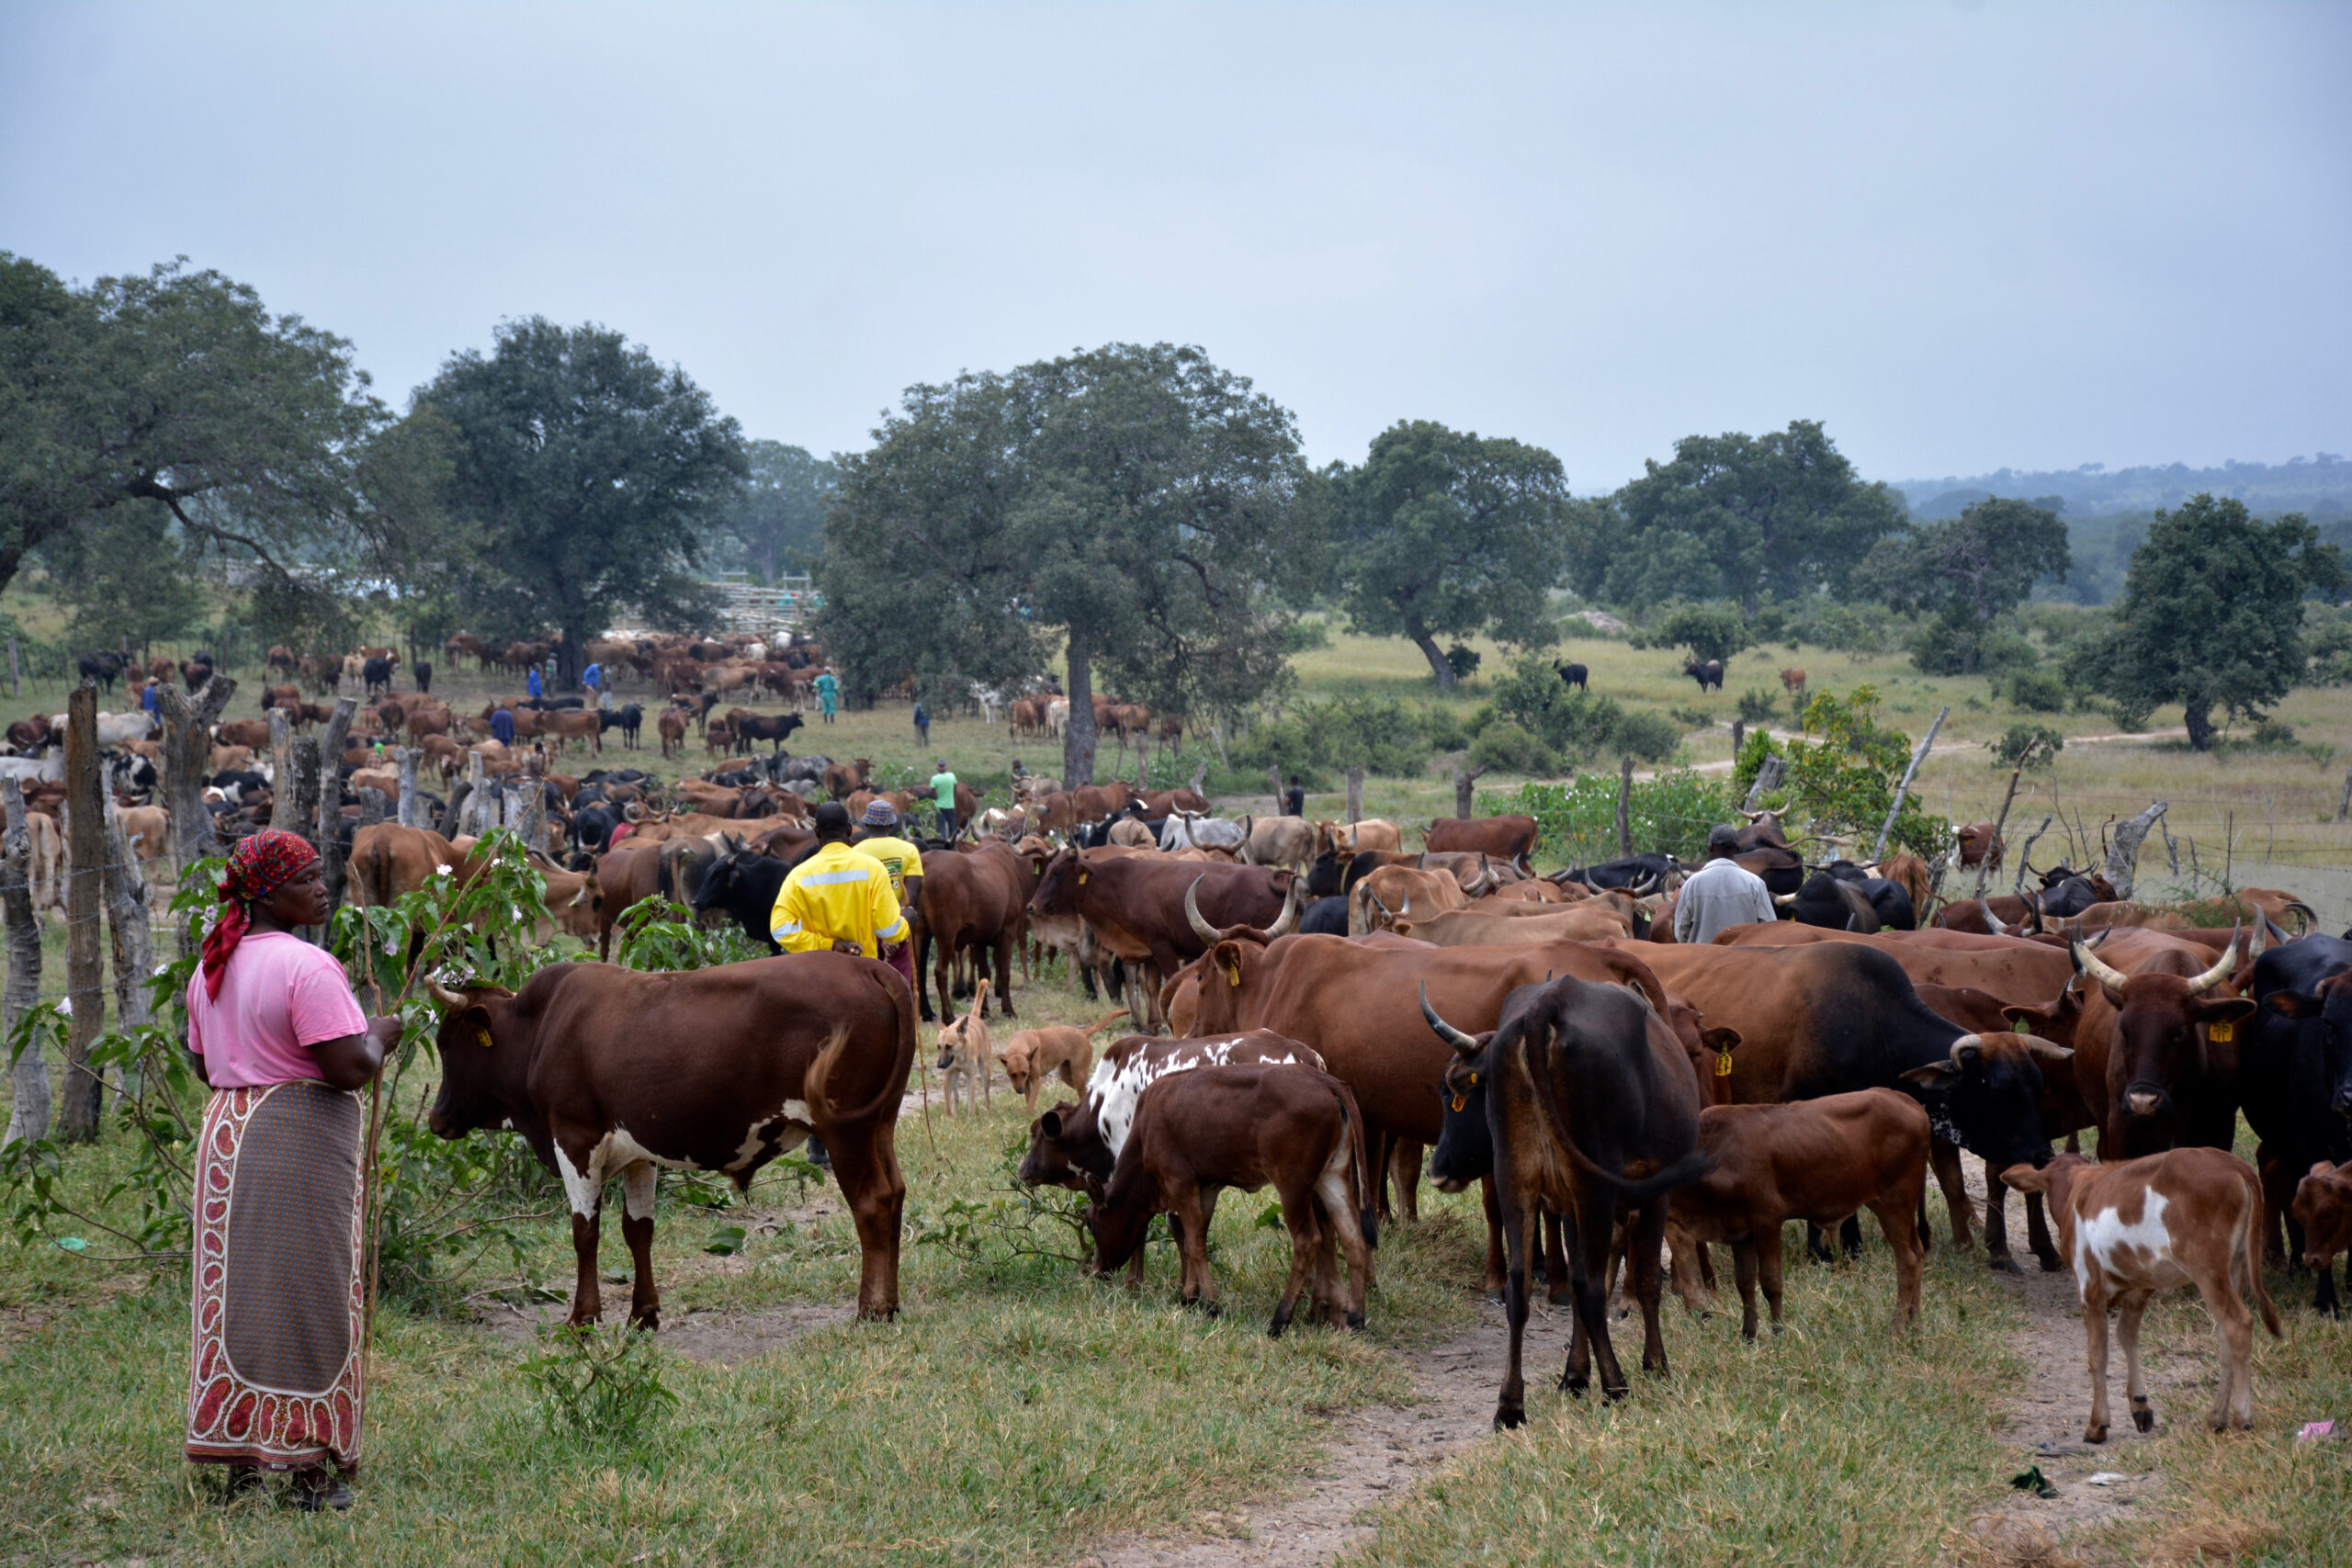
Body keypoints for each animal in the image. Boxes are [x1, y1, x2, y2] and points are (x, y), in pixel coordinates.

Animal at [422, 956, 914, 1324]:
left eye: (446, 1044)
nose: (435, 1119)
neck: (542, 1027)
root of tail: (870, 968)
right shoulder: (639, 1152)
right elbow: (638, 1230)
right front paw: (643, 1314)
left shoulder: (575, 1140)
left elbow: (585, 1231)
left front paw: (583, 1318)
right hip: (879, 1124)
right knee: (894, 1194)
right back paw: (890, 1303)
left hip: (845, 1131)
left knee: (871, 1202)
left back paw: (870, 1309)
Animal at [1088, 1064, 1375, 1334]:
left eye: (1091, 1224)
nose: (1096, 1270)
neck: (1145, 1127)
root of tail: (1325, 1080)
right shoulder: (1207, 1188)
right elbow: (1193, 1239)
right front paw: (1190, 1296)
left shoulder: (1179, 1182)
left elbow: (1195, 1245)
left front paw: (1211, 1305)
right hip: (1332, 1175)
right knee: (1352, 1237)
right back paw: (1355, 1319)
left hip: (1293, 1186)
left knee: (1309, 1241)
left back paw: (1280, 1319)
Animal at [1420, 976, 1709, 1423]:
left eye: (1453, 1097)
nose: (1435, 1169)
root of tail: (1549, 1003)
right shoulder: (1651, 1193)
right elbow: (1641, 1279)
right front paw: (1656, 1365)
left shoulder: (1569, 1203)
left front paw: (1575, 1374)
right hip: (1596, 1186)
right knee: (1588, 1285)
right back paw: (1616, 1387)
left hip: (1516, 1181)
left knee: (1520, 1288)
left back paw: (1510, 1405)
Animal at [1662, 1089, 1929, 1340]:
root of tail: (1909, 1102)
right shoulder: (1739, 1232)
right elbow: (1745, 1285)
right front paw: (1749, 1337)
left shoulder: (1766, 1221)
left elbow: (1770, 1282)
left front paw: (1779, 1332)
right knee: (1917, 1252)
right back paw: (1915, 1324)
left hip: (1896, 1201)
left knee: (1907, 1259)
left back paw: (1896, 1328)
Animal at [2001, 1149, 2282, 1441]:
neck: (2077, 1188)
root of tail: (2233, 1163)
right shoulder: (2138, 1287)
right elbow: (2127, 1335)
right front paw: (2140, 1405)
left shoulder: (2089, 1286)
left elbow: (2097, 1353)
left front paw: (2097, 1424)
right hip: (2235, 1266)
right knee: (2225, 1334)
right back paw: (2217, 1417)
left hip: (2207, 1266)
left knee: (2238, 1324)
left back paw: (2241, 1420)